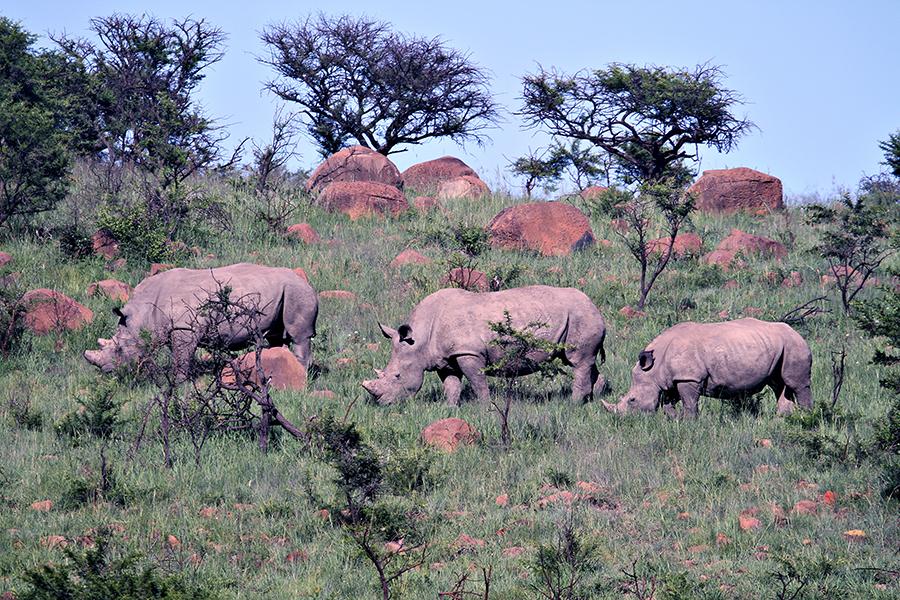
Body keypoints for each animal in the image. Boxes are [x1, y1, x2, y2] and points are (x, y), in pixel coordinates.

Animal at [84, 263, 318, 375]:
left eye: (119, 349)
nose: (108, 372)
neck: (141, 314)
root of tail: (306, 282)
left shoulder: (184, 328)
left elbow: (181, 360)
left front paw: (179, 384)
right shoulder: (175, 329)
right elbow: (180, 355)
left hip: (298, 291)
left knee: (299, 336)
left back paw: (300, 373)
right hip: (285, 291)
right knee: (276, 337)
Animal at [361, 285, 607, 405]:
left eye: (397, 376)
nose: (383, 404)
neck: (420, 339)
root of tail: (594, 305)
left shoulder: (469, 353)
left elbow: (478, 382)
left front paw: (484, 408)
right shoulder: (446, 359)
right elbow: (451, 385)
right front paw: (449, 409)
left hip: (580, 315)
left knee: (577, 361)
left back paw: (572, 405)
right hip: (578, 316)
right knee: (586, 362)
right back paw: (592, 399)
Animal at [603, 318, 812, 418]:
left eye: (632, 400)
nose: (622, 419)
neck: (655, 368)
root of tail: (796, 332)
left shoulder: (688, 377)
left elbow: (689, 403)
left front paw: (689, 423)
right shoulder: (673, 379)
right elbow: (668, 403)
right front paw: (674, 420)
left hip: (794, 344)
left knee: (797, 384)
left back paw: (806, 417)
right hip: (779, 345)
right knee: (779, 384)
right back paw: (783, 418)